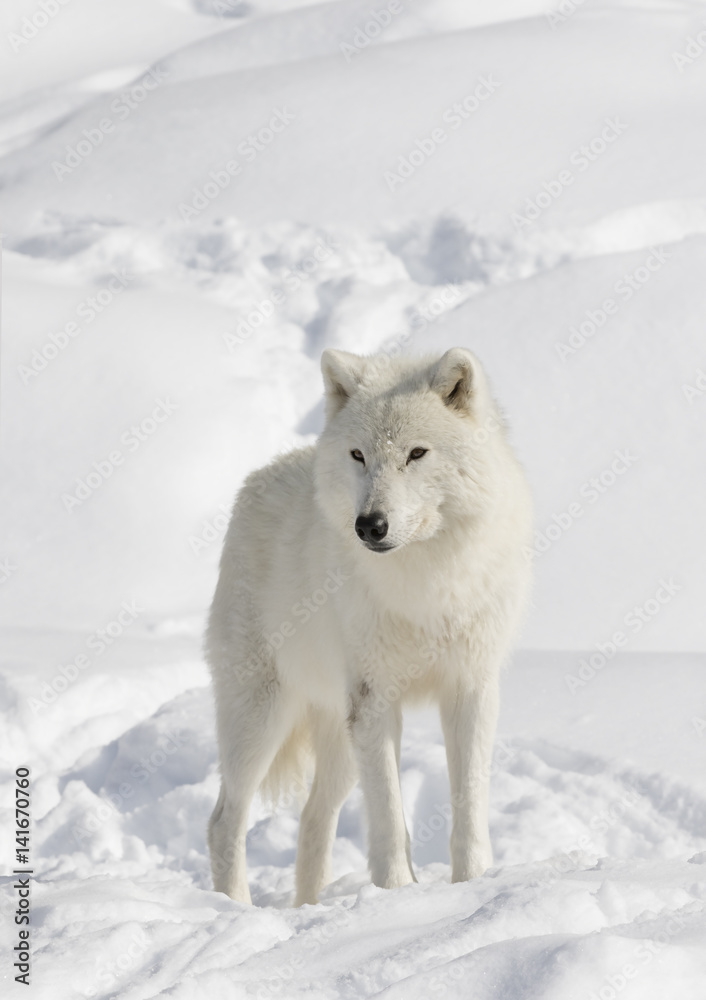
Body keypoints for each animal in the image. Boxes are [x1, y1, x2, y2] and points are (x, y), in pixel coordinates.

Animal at [206, 347, 532, 905]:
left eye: (417, 454)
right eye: (359, 455)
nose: (370, 525)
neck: (426, 584)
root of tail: (257, 477)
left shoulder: (470, 687)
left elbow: (468, 805)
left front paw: (472, 886)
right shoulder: (375, 699)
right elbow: (389, 818)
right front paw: (399, 893)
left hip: (337, 738)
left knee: (312, 818)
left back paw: (310, 909)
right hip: (262, 718)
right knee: (224, 820)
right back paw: (236, 909)